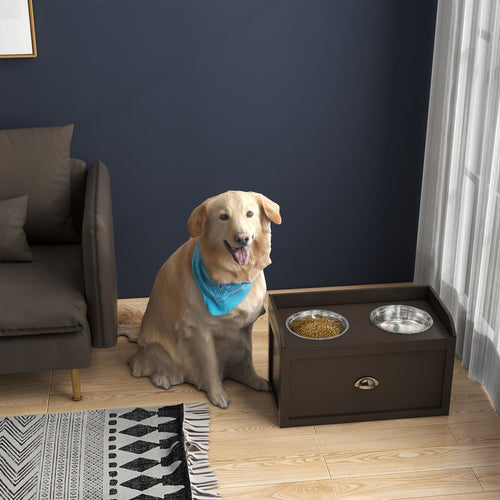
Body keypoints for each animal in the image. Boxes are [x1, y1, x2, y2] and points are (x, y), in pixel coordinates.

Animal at [126, 190, 282, 406]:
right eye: (223, 217)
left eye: (249, 214)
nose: (242, 238)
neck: (231, 278)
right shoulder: (200, 330)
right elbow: (210, 365)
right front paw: (217, 394)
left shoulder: (244, 326)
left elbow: (246, 355)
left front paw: (252, 379)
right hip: (162, 348)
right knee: (142, 364)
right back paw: (161, 378)